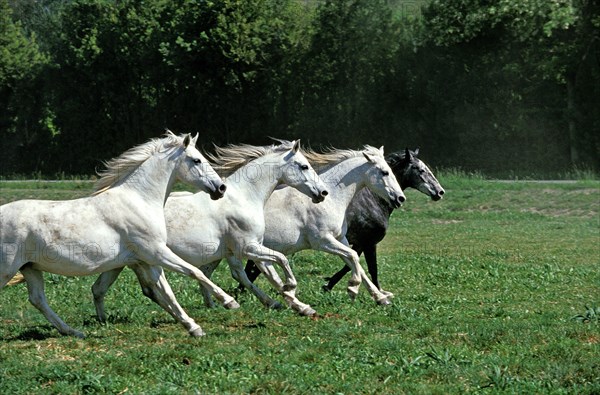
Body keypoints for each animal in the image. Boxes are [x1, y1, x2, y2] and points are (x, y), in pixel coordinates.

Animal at [0, 132, 232, 338]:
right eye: (196, 160)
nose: (221, 188)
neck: (139, 200)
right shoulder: (156, 252)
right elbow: (195, 272)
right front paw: (229, 302)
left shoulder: (148, 260)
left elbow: (167, 293)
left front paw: (194, 328)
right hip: (8, 269)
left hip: (30, 268)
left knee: (38, 300)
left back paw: (74, 332)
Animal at [91, 139, 330, 318]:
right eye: (304, 166)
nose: (322, 193)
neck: (244, 197)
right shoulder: (247, 247)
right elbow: (281, 261)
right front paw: (290, 290)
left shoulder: (248, 248)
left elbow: (268, 274)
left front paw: (297, 306)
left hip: (123, 262)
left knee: (100, 288)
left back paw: (104, 321)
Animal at [203, 145, 408, 316]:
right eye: (384, 172)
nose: (400, 198)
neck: (332, 197)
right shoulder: (323, 241)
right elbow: (354, 258)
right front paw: (352, 288)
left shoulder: (340, 239)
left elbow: (355, 263)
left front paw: (380, 298)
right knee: (236, 273)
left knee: (222, 272)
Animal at [244, 148, 446, 296]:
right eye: (421, 170)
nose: (440, 192)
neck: (369, 199)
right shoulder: (367, 242)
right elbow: (368, 267)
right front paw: (374, 291)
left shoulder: (352, 241)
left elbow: (353, 264)